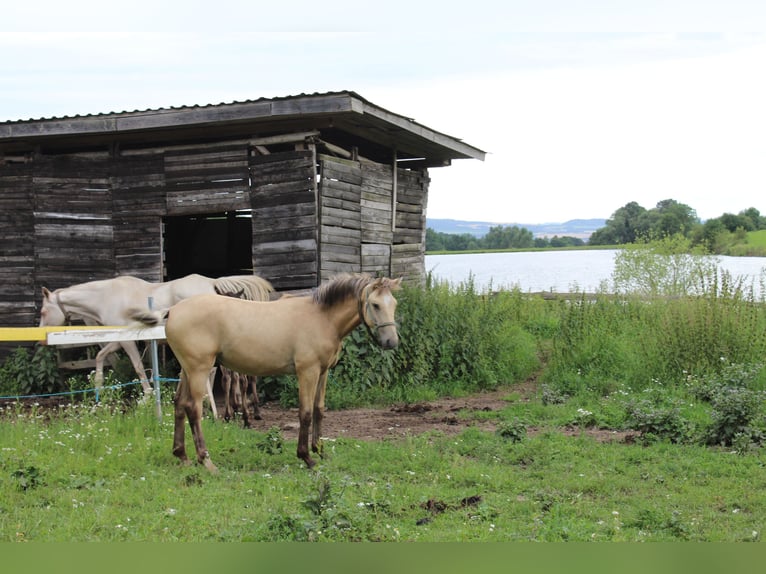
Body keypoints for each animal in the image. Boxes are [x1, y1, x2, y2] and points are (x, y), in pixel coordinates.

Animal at [137, 274, 402, 472]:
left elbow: (319, 410)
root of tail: (173, 310)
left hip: (187, 370)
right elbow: (305, 413)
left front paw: (319, 451)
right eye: (375, 304)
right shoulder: (307, 372)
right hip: (199, 369)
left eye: (394, 305)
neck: (321, 317)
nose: (391, 342)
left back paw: (182, 456)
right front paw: (306, 457)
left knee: (179, 404)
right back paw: (207, 461)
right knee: (193, 409)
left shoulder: (323, 372)